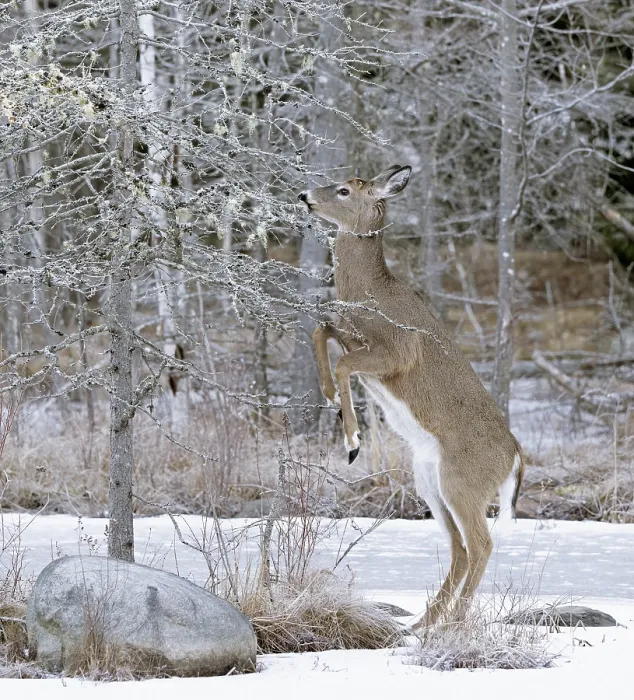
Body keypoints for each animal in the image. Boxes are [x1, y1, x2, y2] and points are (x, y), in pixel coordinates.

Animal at [298, 165, 524, 629]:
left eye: (343, 190)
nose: (304, 195)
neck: (371, 295)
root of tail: (514, 457)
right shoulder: (352, 336)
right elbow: (320, 329)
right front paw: (329, 398)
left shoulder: (397, 352)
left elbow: (342, 360)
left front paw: (352, 441)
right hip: (429, 482)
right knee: (460, 547)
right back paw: (422, 623)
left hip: (463, 482)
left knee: (481, 544)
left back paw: (452, 623)